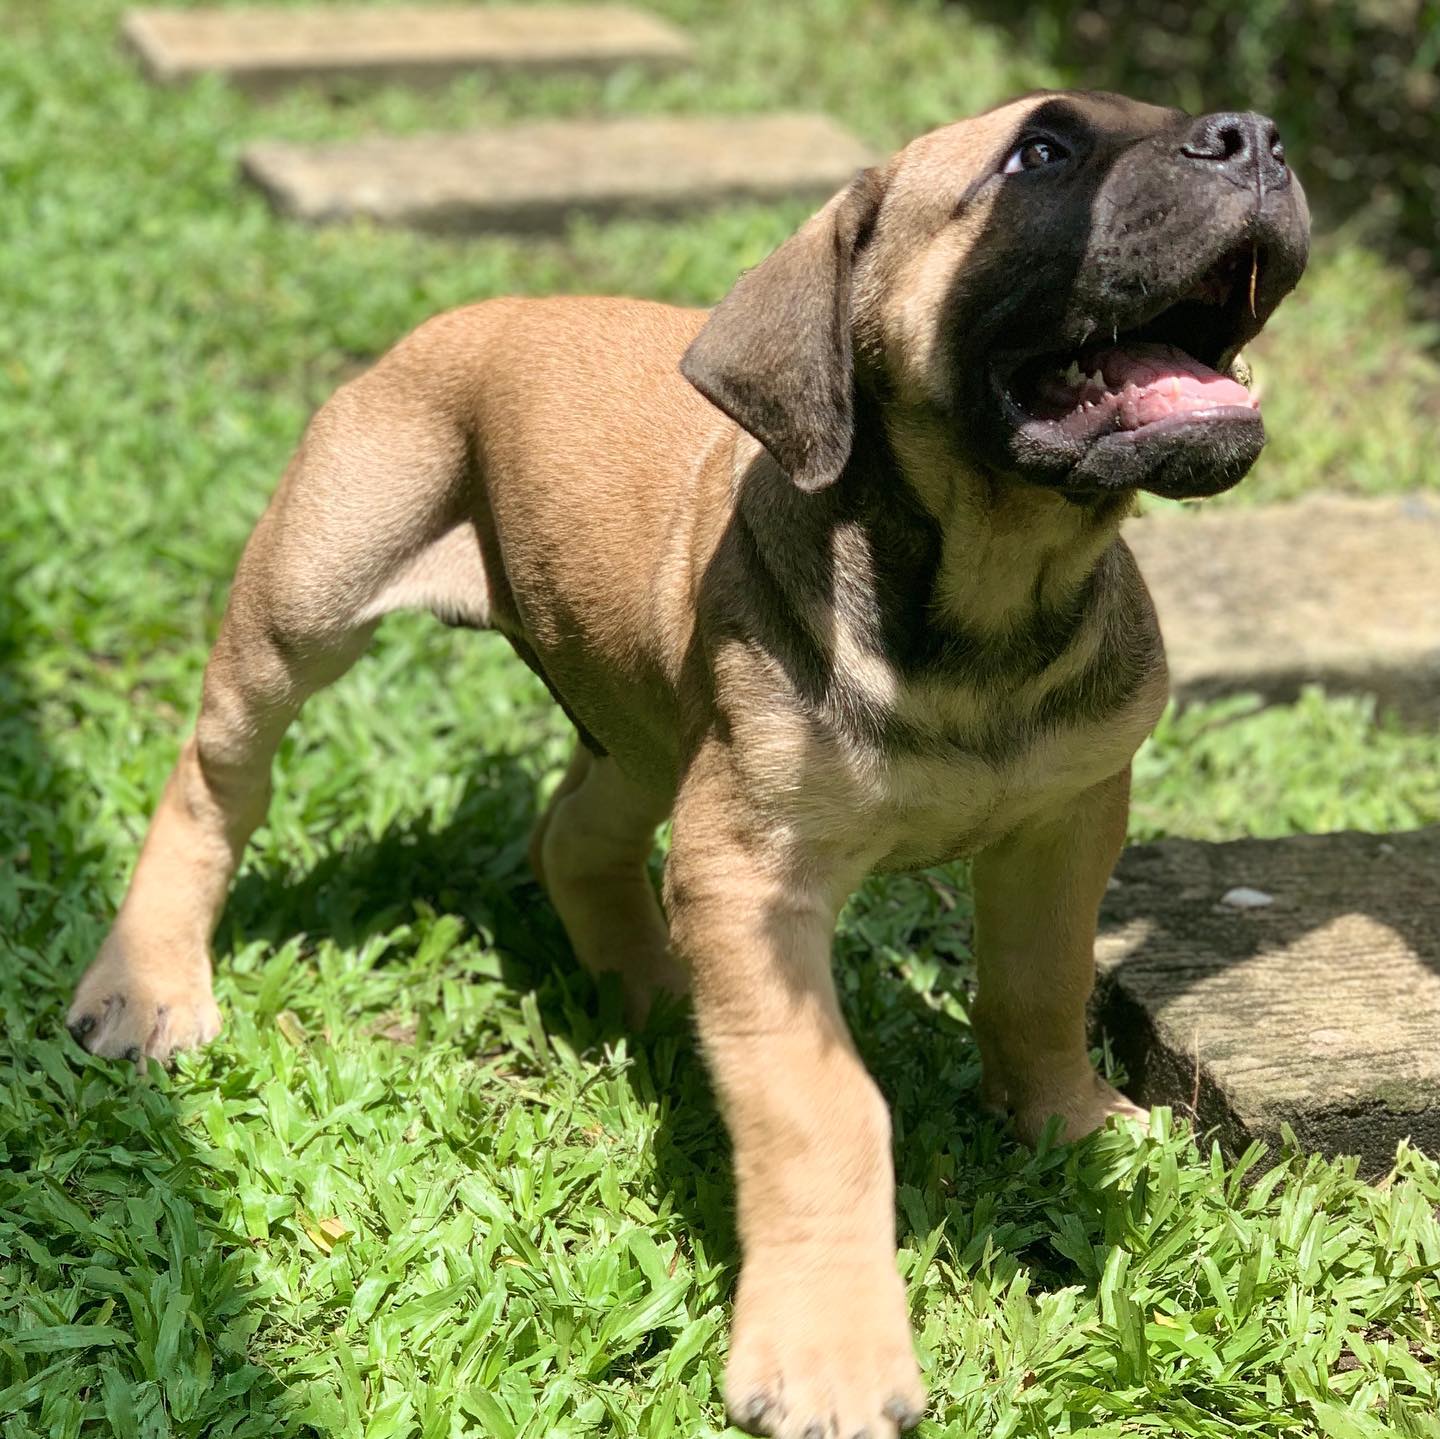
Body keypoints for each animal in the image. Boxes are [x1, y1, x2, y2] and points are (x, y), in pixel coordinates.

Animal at [67, 92, 1313, 1439]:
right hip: (305, 608)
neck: (985, 601)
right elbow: (822, 1103)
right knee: (215, 780)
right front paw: (829, 1349)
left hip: (646, 717)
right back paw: (148, 983)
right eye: (1041, 152)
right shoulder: (752, 869)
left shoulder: (1067, 815)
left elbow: (1040, 981)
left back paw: (658, 991)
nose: (1254, 136)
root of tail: (476, 313)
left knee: (574, 835)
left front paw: (1073, 1123)